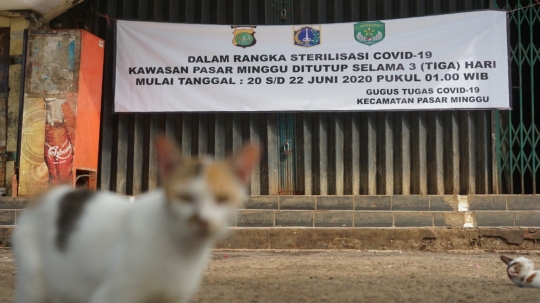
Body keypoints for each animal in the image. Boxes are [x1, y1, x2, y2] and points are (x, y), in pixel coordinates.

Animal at [12, 137, 258, 303]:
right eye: (185, 198)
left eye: (222, 199)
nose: (202, 220)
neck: (181, 250)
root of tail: (42, 196)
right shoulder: (111, 295)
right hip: (35, 281)